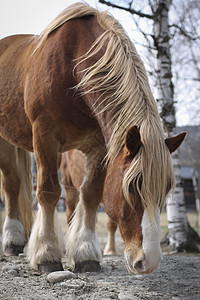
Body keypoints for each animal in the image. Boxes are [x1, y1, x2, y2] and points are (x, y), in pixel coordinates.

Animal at [0, 2, 186, 274]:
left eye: (167, 188)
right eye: (132, 187)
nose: (149, 262)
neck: (73, 68)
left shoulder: (100, 146)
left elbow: (90, 195)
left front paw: (85, 252)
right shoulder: (45, 135)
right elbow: (48, 192)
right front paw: (47, 254)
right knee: (12, 184)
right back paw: (13, 240)